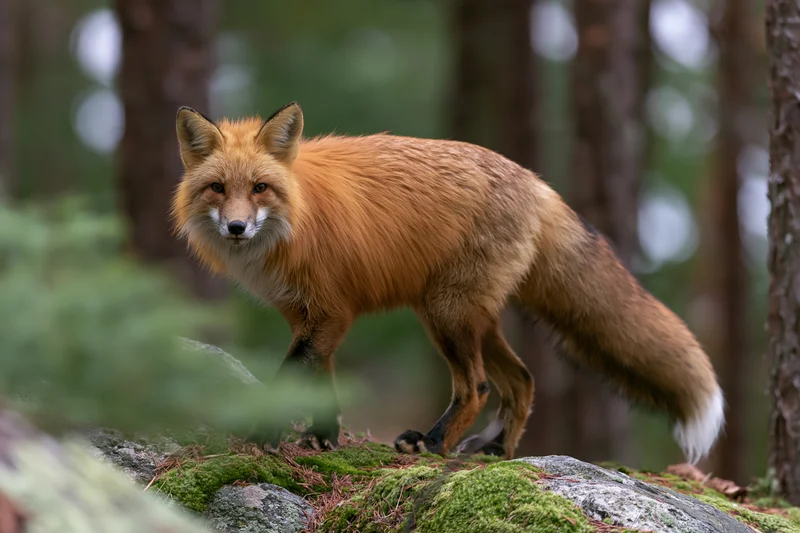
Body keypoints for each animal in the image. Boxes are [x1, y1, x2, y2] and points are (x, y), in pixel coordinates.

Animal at [171, 101, 725, 464]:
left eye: (260, 188)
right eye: (217, 188)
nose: (236, 227)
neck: (295, 220)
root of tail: (538, 182)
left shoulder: (330, 311)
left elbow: (289, 377)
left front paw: (262, 434)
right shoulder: (308, 316)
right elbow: (319, 382)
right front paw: (323, 440)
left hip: (446, 314)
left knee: (477, 386)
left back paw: (435, 445)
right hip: (468, 316)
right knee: (522, 380)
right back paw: (498, 450)